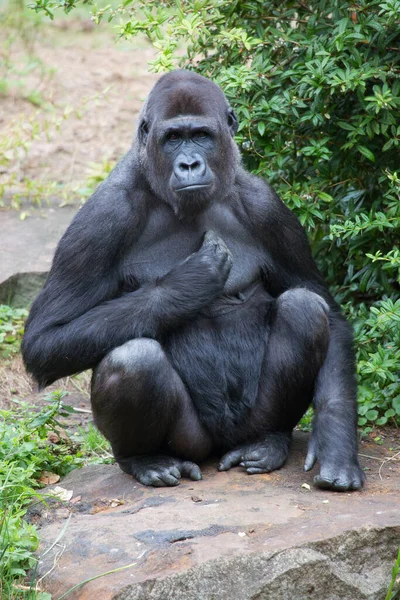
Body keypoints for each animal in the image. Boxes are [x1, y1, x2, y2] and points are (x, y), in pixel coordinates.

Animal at [22, 70, 366, 492]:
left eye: (201, 135)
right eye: (173, 138)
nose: (189, 164)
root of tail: (222, 449)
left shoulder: (267, 206)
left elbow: (329, 314)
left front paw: (336, 445)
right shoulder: (102, 216)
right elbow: (45, 340)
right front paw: (186, 284)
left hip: (249, 424)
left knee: (304, 310)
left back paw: (267, 441)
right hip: (194, 442)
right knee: (134, 360)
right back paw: (144, 459)